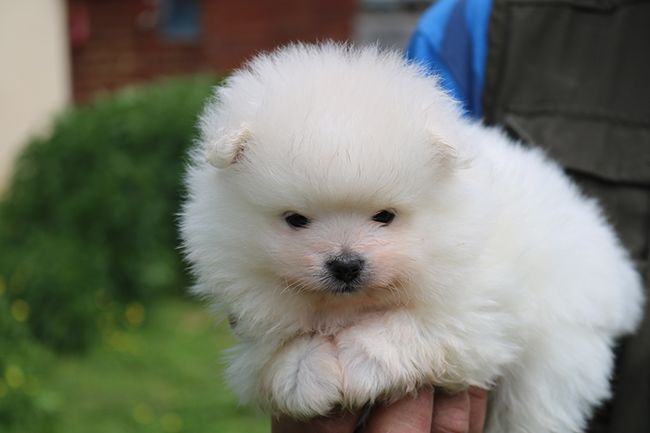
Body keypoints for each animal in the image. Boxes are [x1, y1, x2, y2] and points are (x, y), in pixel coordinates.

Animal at [180, 43, 644, 433]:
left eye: (385, 216)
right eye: (296, 220)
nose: (346, 264)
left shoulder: (483, 309)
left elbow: (421, 323)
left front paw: (360, 359)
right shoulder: (248, 307)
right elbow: (268, 352)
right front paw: (303, 372)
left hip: (561, 350)